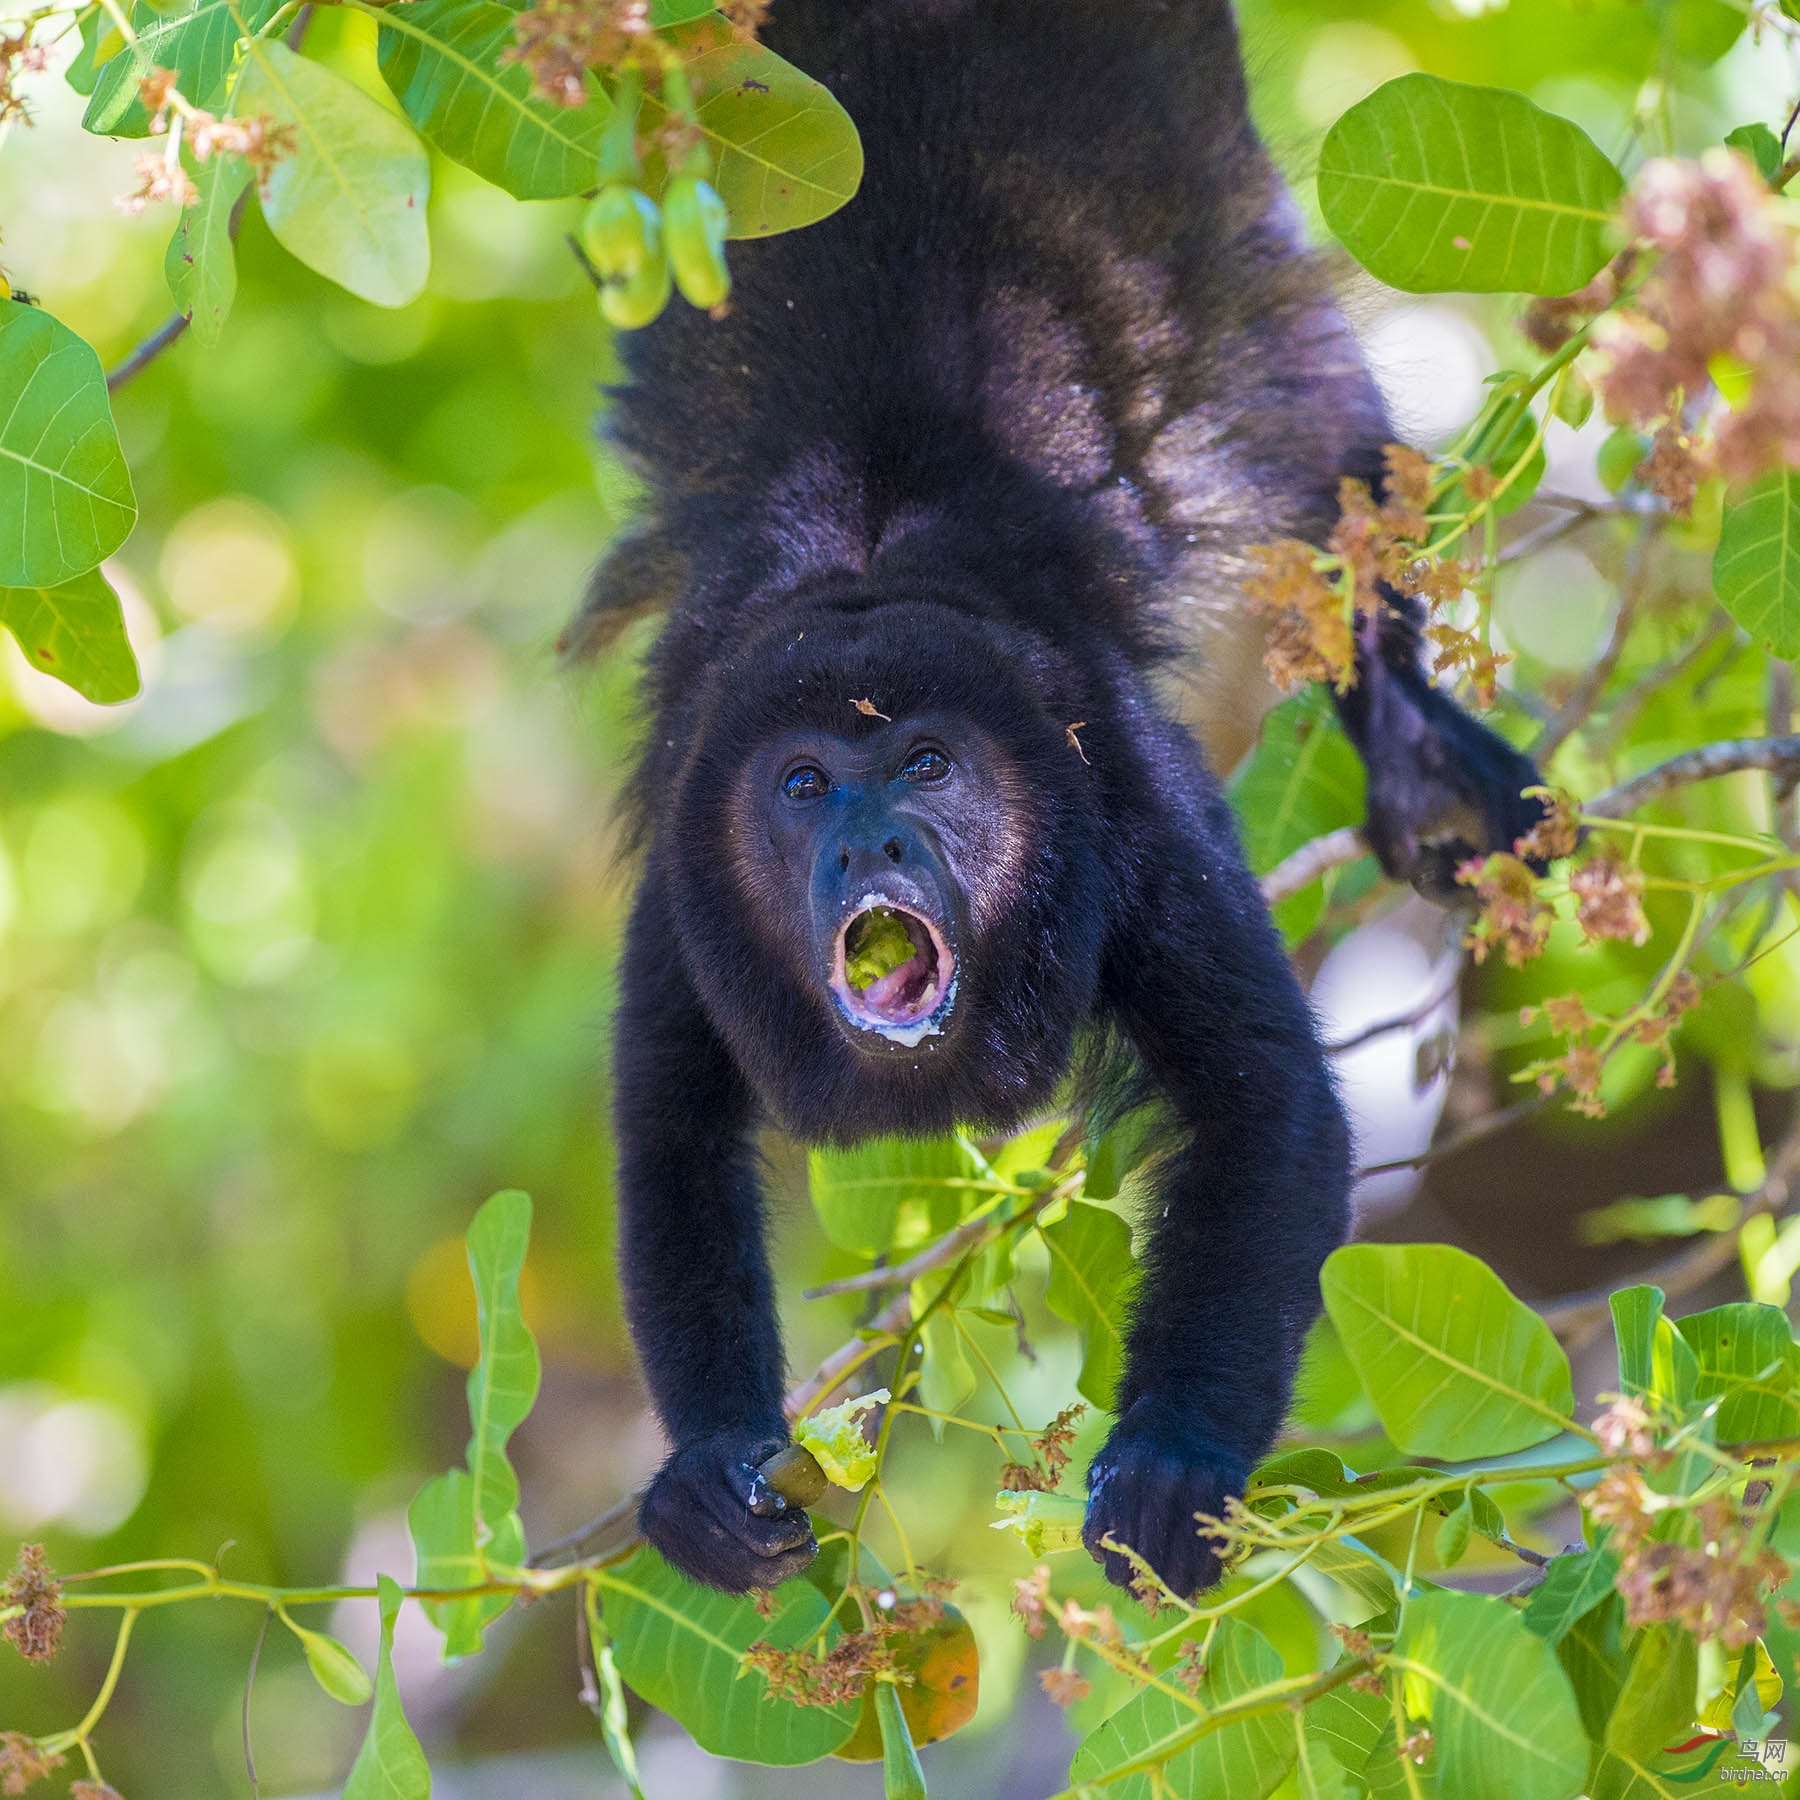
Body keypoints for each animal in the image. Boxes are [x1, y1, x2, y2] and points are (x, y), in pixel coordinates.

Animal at [565, 0, 1548, 1605]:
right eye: (801, 784)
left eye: (927, 763)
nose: (870, 834)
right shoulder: (685, 891)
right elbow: (671, 1149)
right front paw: (706, 1471)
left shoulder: (1129, 804)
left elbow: (1263, 1105)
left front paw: (1175, 1465)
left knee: (1316, 421)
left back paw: (1406, 732)